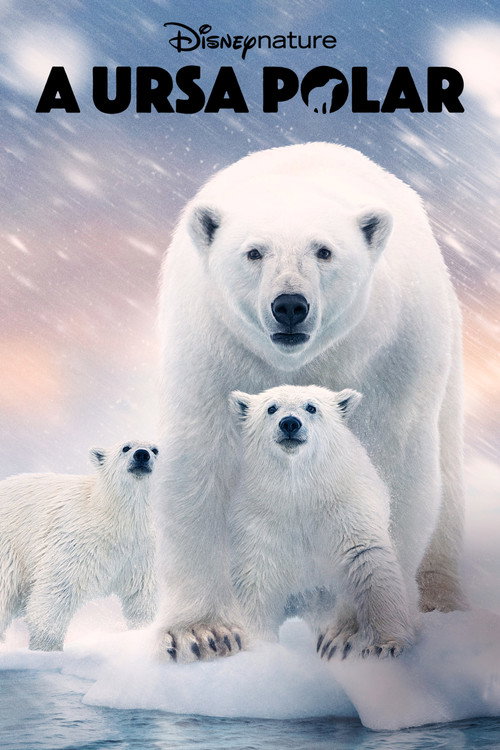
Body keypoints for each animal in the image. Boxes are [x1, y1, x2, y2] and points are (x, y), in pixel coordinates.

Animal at [0, 440, 159, 651]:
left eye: (155, 450)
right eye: (125, 447)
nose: (142, 455)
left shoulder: (138, 552)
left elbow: (140, 594)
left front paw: (142, 630)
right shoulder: (74, 542)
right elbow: (56, 591)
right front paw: (47, 647)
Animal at [228, 385, 414, 660]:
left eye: (311, 407)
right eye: (271, 408)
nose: (290, 423)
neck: (300, 491)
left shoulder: (346, 508)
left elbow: (367, 561)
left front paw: (386, 645)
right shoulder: (260, 518)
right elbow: (256, 577)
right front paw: (259, 645)